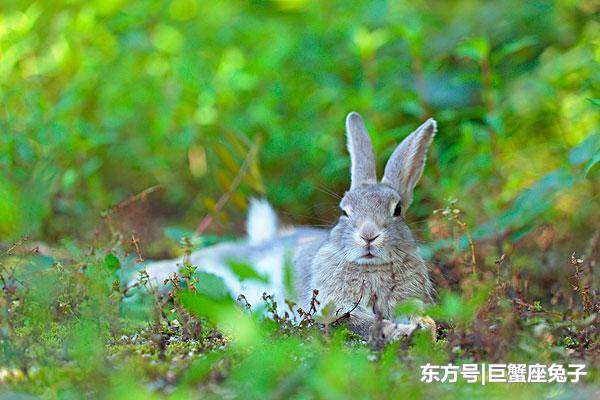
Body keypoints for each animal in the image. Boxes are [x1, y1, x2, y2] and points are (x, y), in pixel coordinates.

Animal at [294, 111, 436, 340]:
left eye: (397, 210)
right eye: (344, 211)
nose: (368, 235)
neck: (371, 268)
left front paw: (425, 328)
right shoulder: (336, 307)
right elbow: (367, 323)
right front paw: (403, 332)